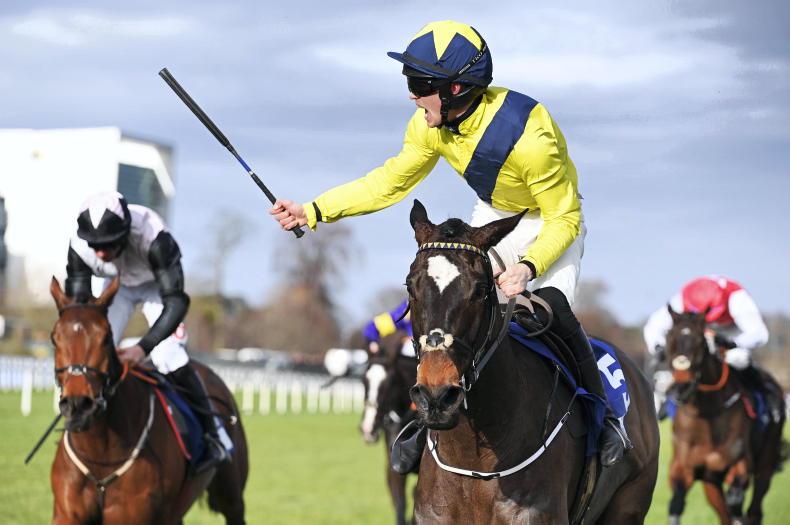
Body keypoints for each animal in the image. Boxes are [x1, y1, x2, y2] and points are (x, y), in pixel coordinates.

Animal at [49, 276, 248, 524]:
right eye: (54, 338)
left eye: (106, 338)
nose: (79, 404)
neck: (100, 456)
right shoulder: (67, 514)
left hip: (231, 497)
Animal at [664, 307, 786, 525]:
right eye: (669, 338)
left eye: (700, 342)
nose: (681, 387)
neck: (707, 414)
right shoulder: (684, 468)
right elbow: (676, 503)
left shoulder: (740, 465)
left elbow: (735, 501)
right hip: (711, 481)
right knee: (724, 514)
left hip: (766, 462)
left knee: (754, 510)